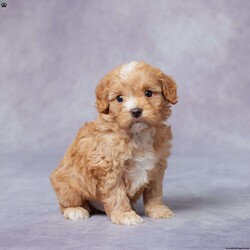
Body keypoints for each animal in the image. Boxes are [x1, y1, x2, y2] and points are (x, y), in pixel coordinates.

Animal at [49, 61, 177, 226]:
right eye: (119, 98)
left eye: (148, 93)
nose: (136, 111)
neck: (137, 135)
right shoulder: (110, 168)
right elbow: (117, 195)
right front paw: (125, 215)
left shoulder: (157, 166)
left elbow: (155, 191)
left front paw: (157, 209)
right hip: (68, 182)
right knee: (67, 201)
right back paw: (75, 210)